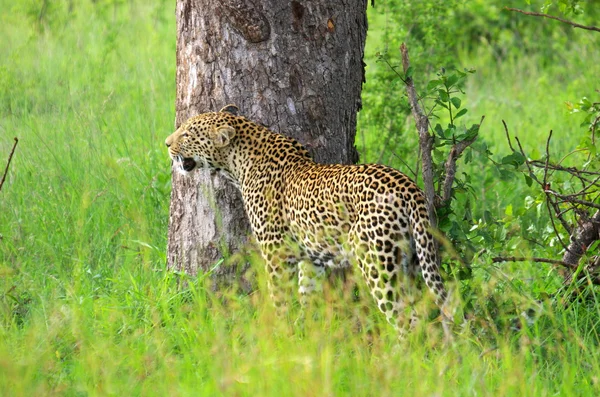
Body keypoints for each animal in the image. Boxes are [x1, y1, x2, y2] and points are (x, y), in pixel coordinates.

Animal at [164, 105, 450, 334]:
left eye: (187, 134)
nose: (166, 144)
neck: (238, 164)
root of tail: (408, 187)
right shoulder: (312, 259)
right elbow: (306, 297)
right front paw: (302, 336)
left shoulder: (277, 253)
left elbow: (279, 298)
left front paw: (280, 337)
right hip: (412, 262)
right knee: (423, 314)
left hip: (377, 263)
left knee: (405, 319)